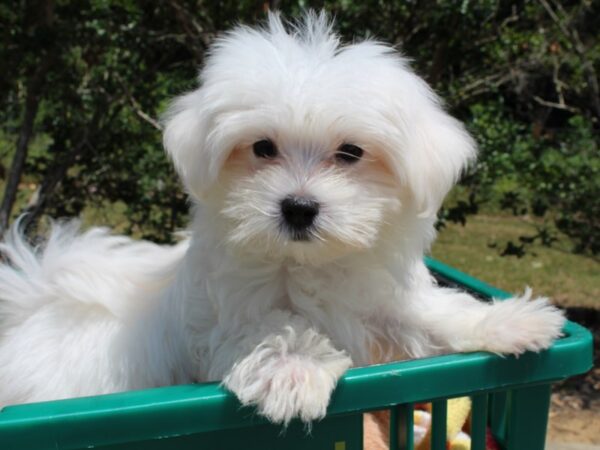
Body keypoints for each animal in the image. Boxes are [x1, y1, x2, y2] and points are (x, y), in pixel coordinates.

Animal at [0, 11, 564, 426]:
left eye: (351, 152)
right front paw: (293, 368)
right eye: (262, 148)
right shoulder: (221, 320)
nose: (298, 207)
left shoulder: (379, 305)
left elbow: (425, 315)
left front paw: (507, 321)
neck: (306, 262)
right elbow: (270, 328)